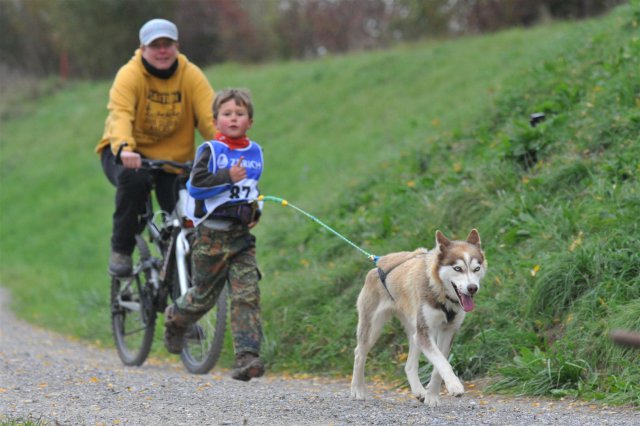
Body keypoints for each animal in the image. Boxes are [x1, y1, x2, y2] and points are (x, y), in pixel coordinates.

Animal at [350, 228, 484, 408]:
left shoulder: (448, 331)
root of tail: (378, 264)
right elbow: (443, 363)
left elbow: (439, 366)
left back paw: (419, 391)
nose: (472, 288)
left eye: (476, 268)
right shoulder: (424, 333)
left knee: (409, 365)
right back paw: (357, 389)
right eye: (457, 268)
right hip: (373, 328)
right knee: (359, 353)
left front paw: (432, 396)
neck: (439, 291)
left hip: (414, 332)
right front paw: (454, 385)